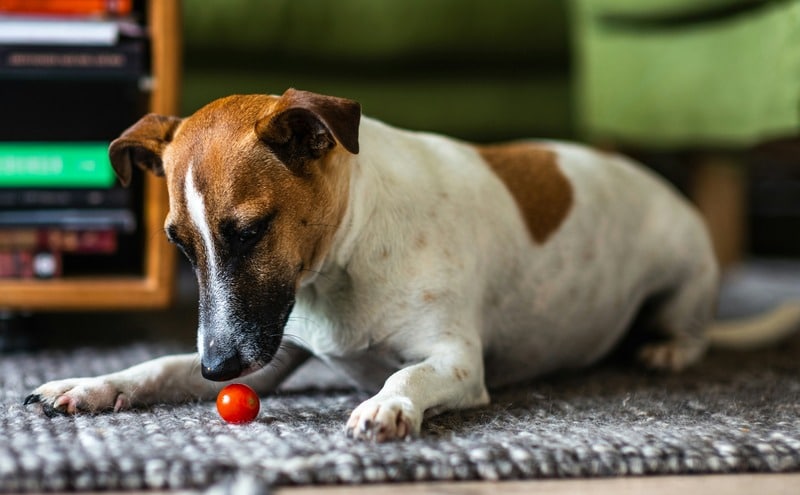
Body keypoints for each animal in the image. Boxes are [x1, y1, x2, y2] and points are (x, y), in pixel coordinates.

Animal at [25, 88, 800, 442]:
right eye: (180, 244)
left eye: (248, 232)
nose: (218, 370)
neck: (343, 261)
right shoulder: (269, 352)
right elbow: (154, 366)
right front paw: (89, 384)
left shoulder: (456, 361)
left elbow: (409, 373)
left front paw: (387, 403)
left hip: (685, 280)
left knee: (689, 329)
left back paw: (667, 347)